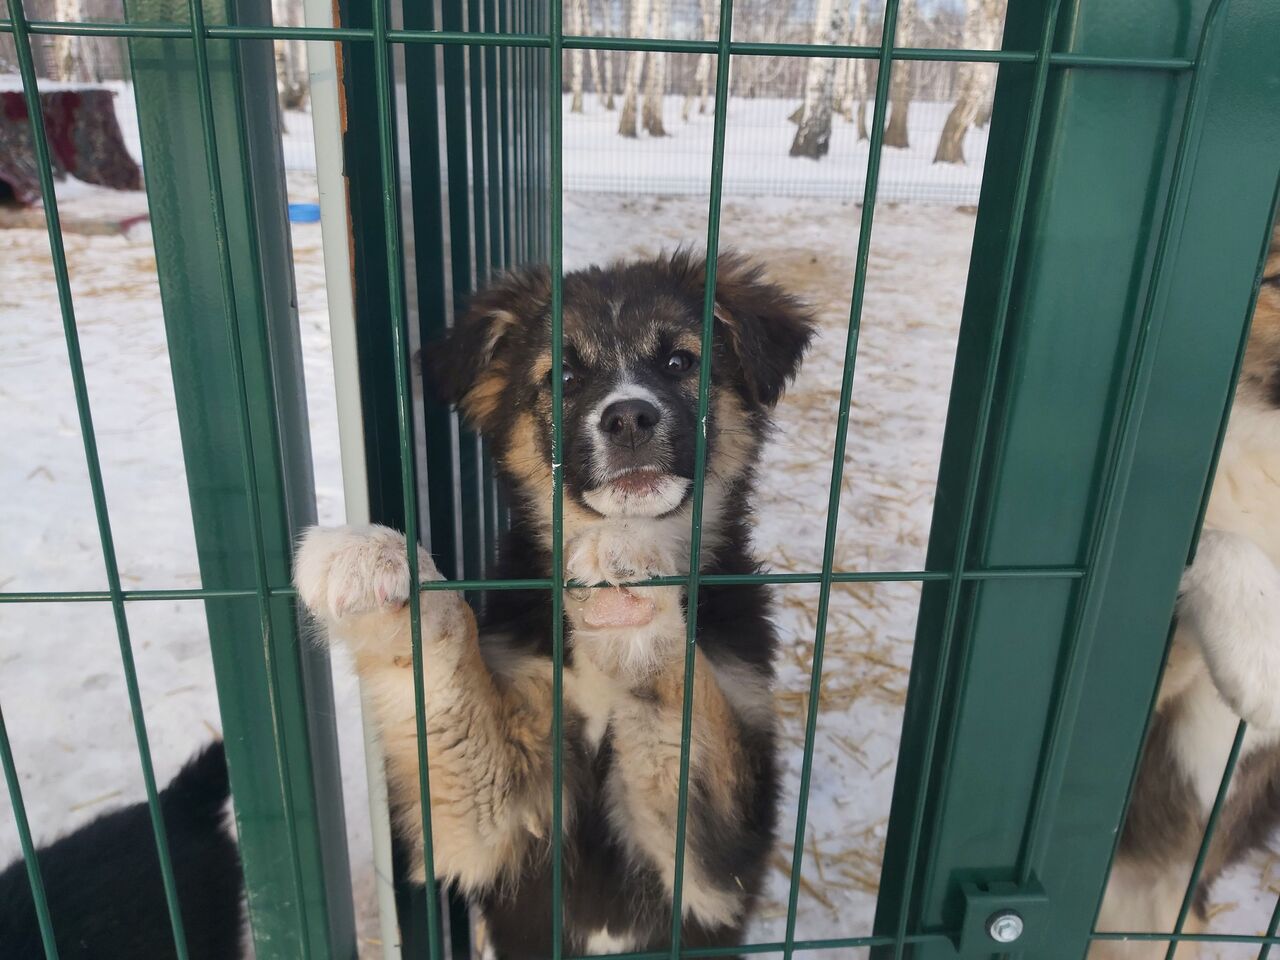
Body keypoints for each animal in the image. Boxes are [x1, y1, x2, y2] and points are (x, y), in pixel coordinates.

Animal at [294, 252, 814, 957]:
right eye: (562, 377)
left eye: (680, 361)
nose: (629, 418)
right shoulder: (498, 820)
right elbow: (447, 675)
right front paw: (380, 568)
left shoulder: (717, 868)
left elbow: (689, 701)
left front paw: (631, 594)